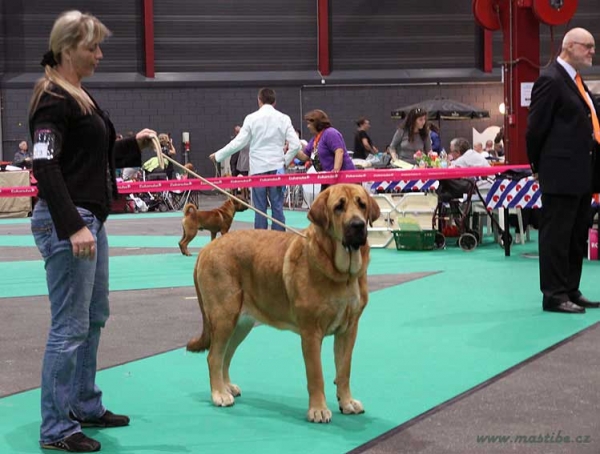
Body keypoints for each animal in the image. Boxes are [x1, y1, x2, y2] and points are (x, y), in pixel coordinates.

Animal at [186, 184, 380, 422]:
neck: (342, 273)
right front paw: (318, 410)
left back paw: (227, 386)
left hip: (241, 324)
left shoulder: (348, 329)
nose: (358, 225)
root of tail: (206, 250)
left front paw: (347, 402)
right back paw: (219, 394)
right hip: (224, 317)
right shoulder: (311, 333)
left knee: (225, 355)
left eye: (362, 205)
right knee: (214, 356)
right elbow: (316, 375)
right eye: (338, 207)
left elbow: (344, 370)